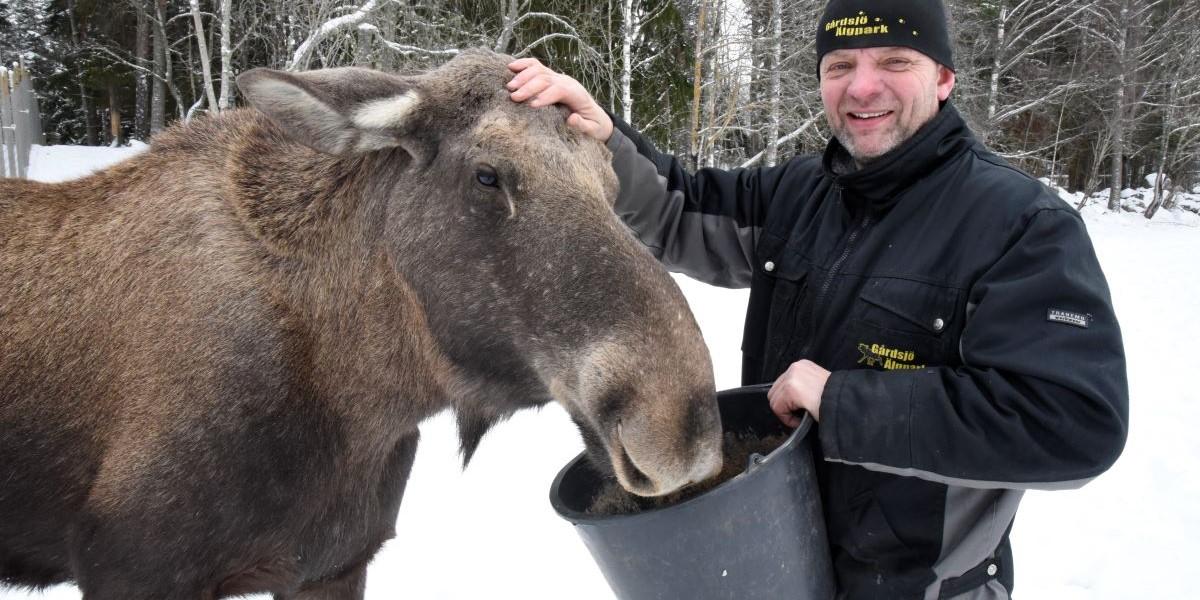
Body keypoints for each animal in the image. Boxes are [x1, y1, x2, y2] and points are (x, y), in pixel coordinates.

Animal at [0, 51, 720, 600]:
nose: (681, 424)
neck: (364, 398)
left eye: (611, 183)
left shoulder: (335, 563)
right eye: (487, 174)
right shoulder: (134, 568)